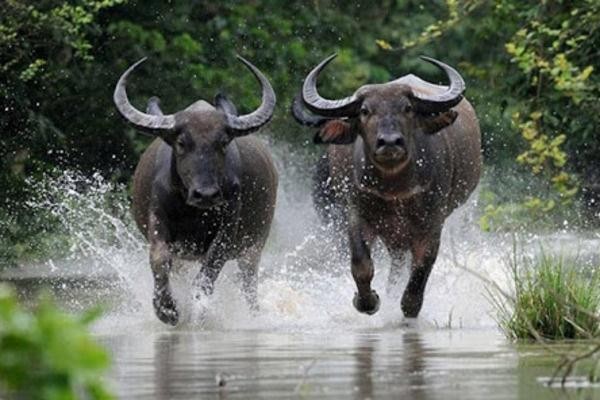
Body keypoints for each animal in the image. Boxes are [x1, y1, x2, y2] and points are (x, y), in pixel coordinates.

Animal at [113, 56, 278, 324]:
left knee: (248, 281)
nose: (206, 195)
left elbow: (207, 273)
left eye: (223, 142)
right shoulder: (158, 218)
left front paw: (198, 312)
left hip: (254, 244)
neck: (192, 212)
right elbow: (159, 258)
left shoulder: (228, 228)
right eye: (181, 143)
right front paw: (167, 309)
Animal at [292, 54, 480, 318]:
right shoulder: (355, 213)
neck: (394, 187)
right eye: (364, 111)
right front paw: (367, 301)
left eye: (408, 108)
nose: (390, 142)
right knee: (396, 264)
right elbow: (361, 264)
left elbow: (422, 265)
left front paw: (409, 307)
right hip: (392, 234)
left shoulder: (433, 219)